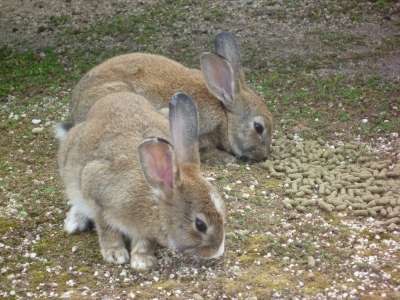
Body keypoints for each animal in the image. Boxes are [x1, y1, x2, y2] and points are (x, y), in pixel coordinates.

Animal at [56, 91, 225, 270]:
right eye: (200, 225)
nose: (217, 252)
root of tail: (114, 96)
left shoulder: (145, 231)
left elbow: (145, 242)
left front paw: (143, 261)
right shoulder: (98, 197)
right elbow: (107, 229)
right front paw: (115, 254)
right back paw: (74, 222)